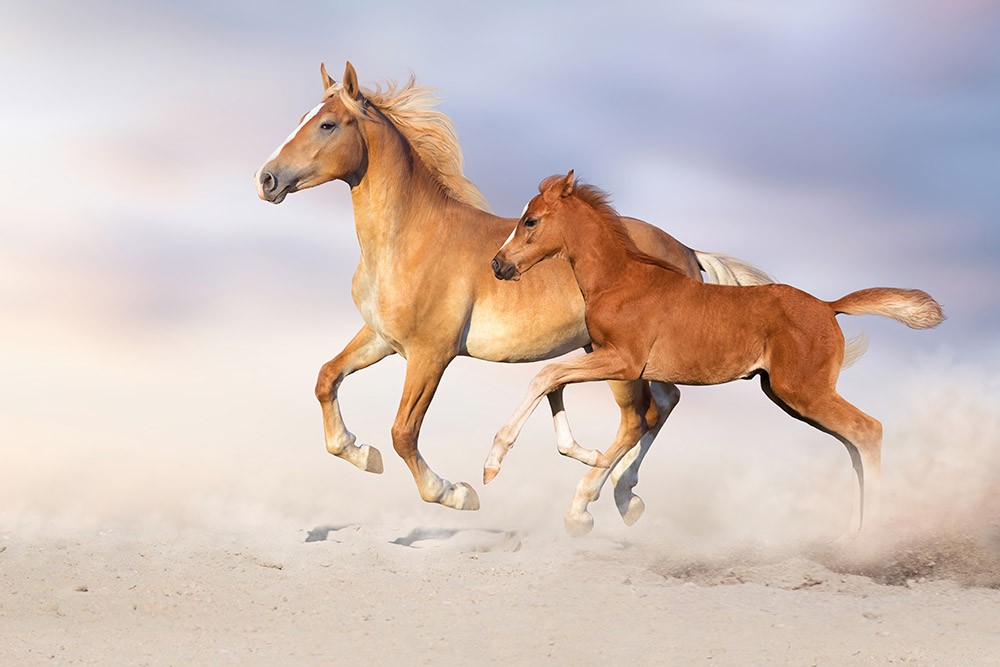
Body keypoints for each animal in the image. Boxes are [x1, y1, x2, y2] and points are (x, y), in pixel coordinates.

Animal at [256, 62, 772, 520]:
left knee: (639, 417)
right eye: (302, 118)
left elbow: (404, 431)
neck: (411, 238)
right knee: (662, 406)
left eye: (326, 124)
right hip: (620, 355)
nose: (266, 179)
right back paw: (622, 492)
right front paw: (361, 452)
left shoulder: (431, 353)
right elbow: (327, 378)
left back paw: (592, 502)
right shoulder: (382, 338)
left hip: (623, 363)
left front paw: (457, 492)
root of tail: (686, 250)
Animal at [488, 171, 940, 536]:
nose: (498, 265)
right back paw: (849, 536)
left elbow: (548, 376)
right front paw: (582, 466)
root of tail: (830, 306)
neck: (620, 279)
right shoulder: (609, 359)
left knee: (868, 431)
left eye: (531, 221)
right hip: (788, 395)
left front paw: (494, 463)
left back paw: (870, 539)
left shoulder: (623, 360)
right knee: (852, 444)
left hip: (804, 391)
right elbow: (558, 384)